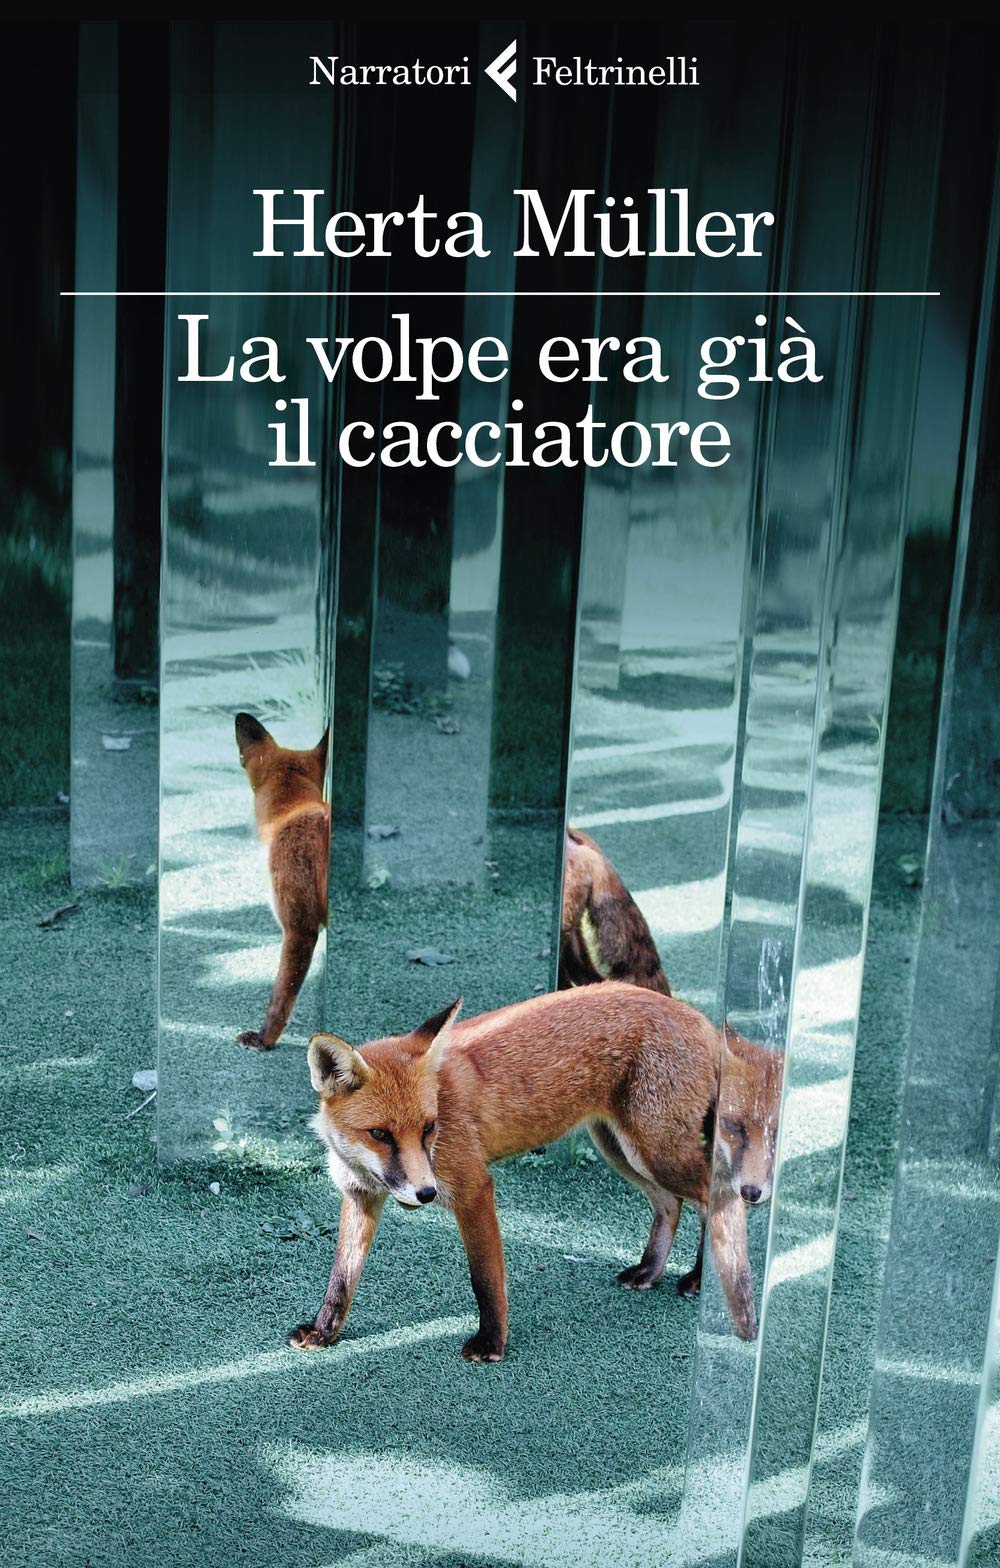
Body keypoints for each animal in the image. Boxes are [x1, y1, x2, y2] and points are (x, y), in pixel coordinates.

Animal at [290, 983, 782, 1361]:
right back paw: (649, 1271)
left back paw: (702, 1279)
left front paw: (492, 1343)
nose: (426, 1194)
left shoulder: (473, 1187)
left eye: (429, 1128)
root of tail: (699, 1018)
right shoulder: (360, 1195)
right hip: (620, 1149)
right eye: (380, 1134)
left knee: (718, 1199)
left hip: (657, 1151)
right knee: (671, 1204)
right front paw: (324, 1331)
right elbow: (342, 1276)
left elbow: (485, 1279)